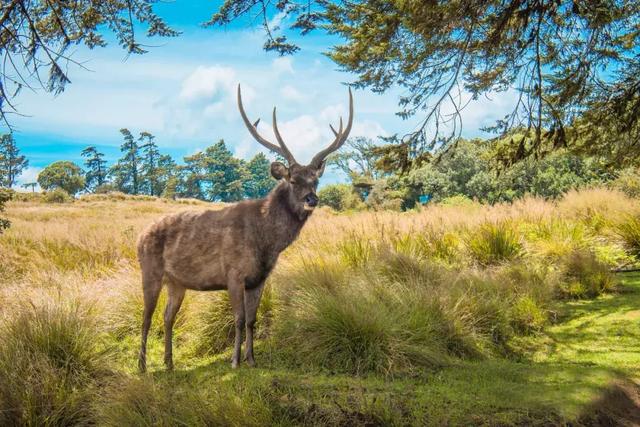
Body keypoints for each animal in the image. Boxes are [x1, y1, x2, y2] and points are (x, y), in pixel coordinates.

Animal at [136, 85, 356, 372]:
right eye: (293, 180)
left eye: (315, 180)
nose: (312, 199)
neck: (266, 243)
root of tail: (139, 236)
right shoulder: (233, 273)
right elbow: (238, 319)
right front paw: (234, 361)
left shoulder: (259, 278)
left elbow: (252, 319)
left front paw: (252, 359)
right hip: (149, 270)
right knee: (146, 316)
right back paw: (142, 366)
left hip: (177, 282)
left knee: (167, 316)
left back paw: (169, 363)